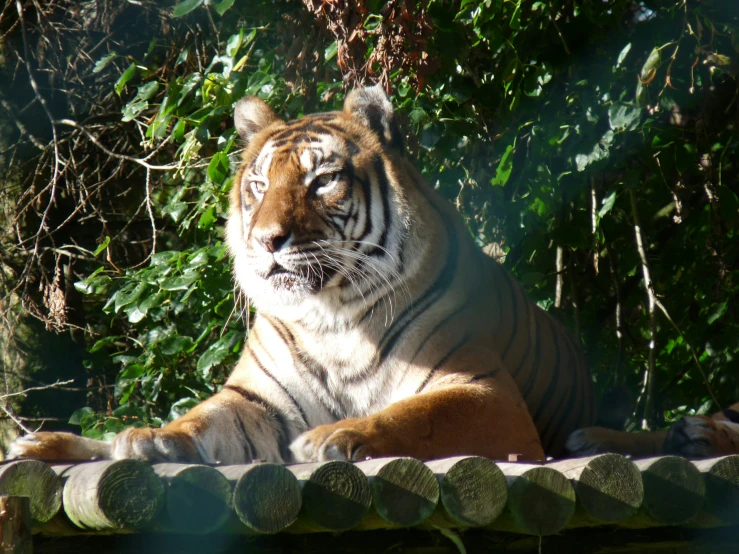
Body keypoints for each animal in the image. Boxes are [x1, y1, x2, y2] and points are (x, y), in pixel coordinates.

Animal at [5, 85, 739, 462]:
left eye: (321, 181)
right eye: (260, 186)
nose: (268, 240)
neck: (330, 318)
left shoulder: (482, 391)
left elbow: (415, 415)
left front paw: (336, 436)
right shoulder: (255, 399)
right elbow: (201, 418)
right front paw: (154, 439)